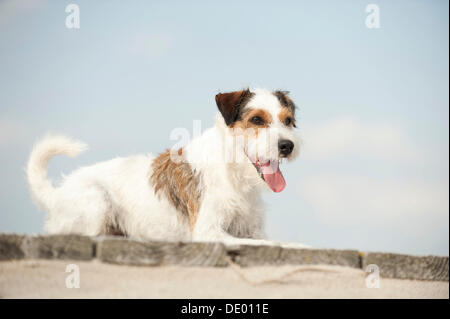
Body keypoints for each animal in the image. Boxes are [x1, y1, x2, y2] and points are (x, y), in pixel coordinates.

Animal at [25, 89, 306, 249]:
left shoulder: (252, 229)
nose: (287, 146)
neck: (234, 174)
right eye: (257, 119)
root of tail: (56, 194)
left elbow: (266, 238)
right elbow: (275, 242)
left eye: (288, 120)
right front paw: (298, 244)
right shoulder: (207, 230)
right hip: (96, 199)